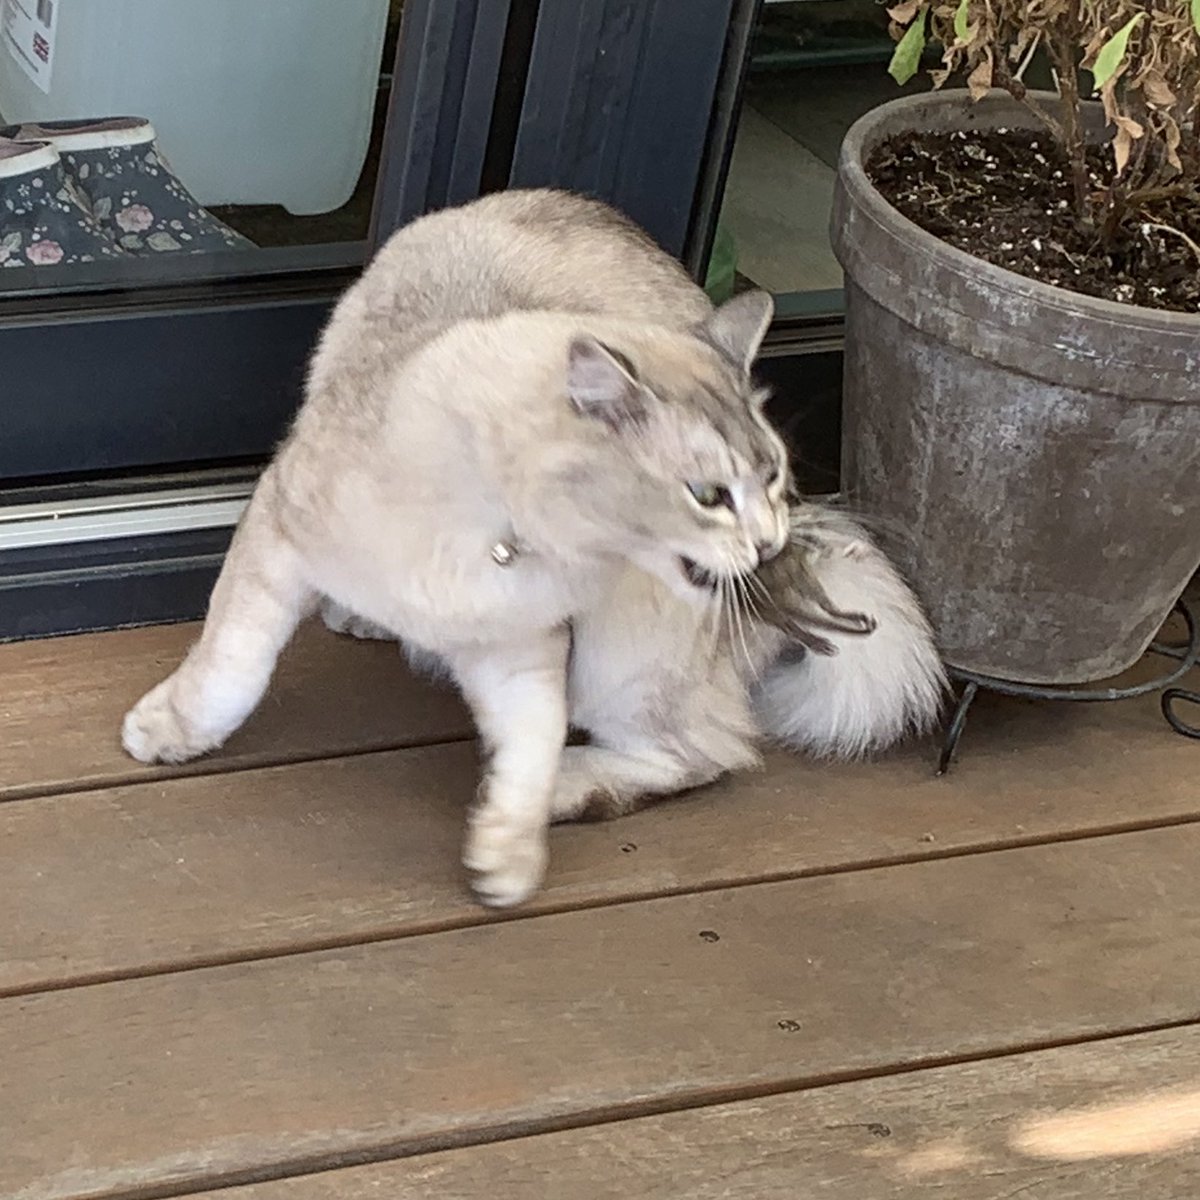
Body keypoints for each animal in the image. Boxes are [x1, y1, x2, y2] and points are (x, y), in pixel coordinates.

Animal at [124, 187, 945, 902]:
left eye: (772, 475)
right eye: (710, 495)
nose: (769, 540)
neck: (504, 529)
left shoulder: (521, 647)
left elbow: (534, 741)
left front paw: (509, 850)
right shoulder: (280, 530)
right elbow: (231, 665)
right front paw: (171, 731)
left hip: (622, 654)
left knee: (704, 753)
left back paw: (570, 787)